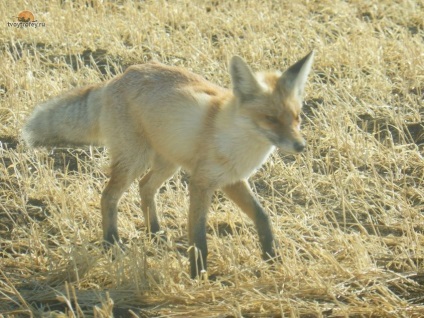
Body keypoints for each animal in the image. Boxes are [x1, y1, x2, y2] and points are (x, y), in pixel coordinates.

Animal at [23, 51, 314, 278]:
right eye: (271, 119)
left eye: (297, 117)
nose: (301, 146)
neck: (237, 141)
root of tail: (117, 78)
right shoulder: (201, 183)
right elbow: (198, 235)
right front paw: (198, 276)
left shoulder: (232, 180)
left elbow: (262, 217)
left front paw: (272, 259)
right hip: (135, 160)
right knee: (108, 197)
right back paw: (111, 244)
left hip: (167, 164)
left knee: (144, 188)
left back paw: (154, 232)